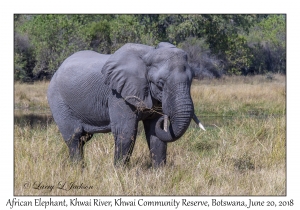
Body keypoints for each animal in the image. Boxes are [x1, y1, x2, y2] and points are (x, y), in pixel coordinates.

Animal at [47, 42, 206, 167]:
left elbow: (155, 134)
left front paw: (160, 174)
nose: (165, 119)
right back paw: (78, 170)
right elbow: (126, 132)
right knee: (74, 138)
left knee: (83, 139)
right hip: (58, 101)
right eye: (160, 83)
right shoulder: (117, 94)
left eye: (192, 80)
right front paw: (119, 173)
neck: (149, 53)